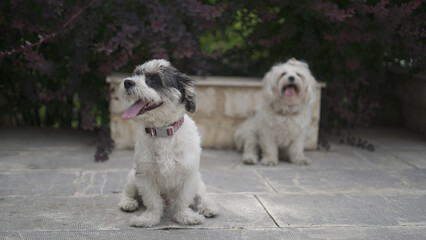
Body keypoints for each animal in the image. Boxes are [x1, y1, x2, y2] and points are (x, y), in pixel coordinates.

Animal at [116, 58, 216, 227]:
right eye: (136, 74)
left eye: (155, 79)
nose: (128, 82)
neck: (162, 132)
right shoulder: (145, 174)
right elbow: (152, 201)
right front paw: (149, 218)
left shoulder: (189, 174)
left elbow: (183, 200)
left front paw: (185, 216)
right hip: (132, 177)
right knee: (128, 192)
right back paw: (128, 202)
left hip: (199, 180)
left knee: (202, 195)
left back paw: (208, 207)